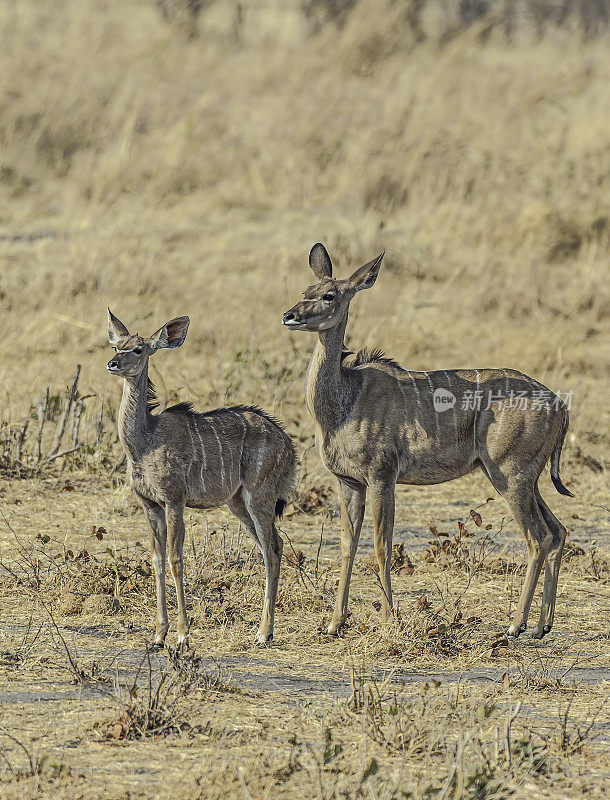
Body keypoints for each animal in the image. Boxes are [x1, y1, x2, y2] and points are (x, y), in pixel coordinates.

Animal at [107, 310, 296, 648]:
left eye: (139, 348)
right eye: (117, 344)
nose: (113, 363)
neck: (145, 442)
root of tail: (287, 443)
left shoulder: (174, 500)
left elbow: (175, 559)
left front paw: (182, 635)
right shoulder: (149, 505)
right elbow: (156, 560)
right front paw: (158, 635)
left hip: (259, 496)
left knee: (272, 548)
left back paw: (263, 632)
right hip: (237, 503)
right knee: (271, 546)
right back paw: (265, 629)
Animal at [282, 244, 572, 636]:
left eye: (329, 295)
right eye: (306, 289)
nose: (290, 316)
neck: (344, 400)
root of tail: (560, 405)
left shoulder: (382, 477)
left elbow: (381, 545)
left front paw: (388, 620)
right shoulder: (349, 482)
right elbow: (346, 544)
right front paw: (334, 623)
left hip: (510, 477)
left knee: (538, 537)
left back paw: (516, 626)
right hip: (526, 480)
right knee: (558, 531)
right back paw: (542, 626)